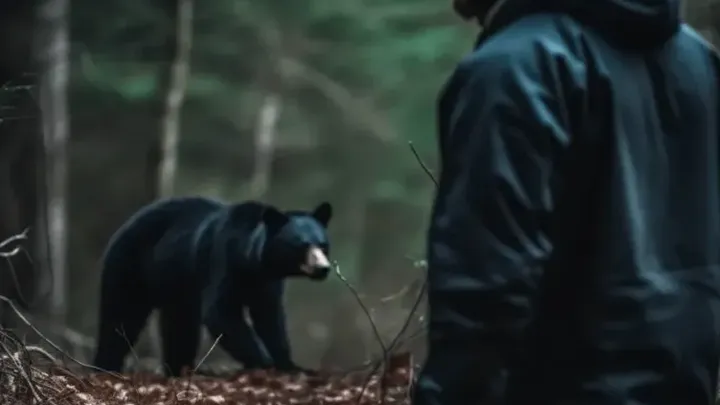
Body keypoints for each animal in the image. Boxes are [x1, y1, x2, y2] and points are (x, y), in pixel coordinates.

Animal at [91, 196, 333, 377]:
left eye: (323, 245)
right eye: (302, 245)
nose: (323, 268)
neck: (252, 262)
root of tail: (126, 224)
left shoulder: (266, 283)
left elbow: (270, 318)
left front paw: (289, 364)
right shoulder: (222, 263)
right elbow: (220, 313)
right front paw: (264, 363)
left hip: (176, 288)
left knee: (180, 327)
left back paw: (179, 370)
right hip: (131, 267)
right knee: (120, 319)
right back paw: (106, 368)